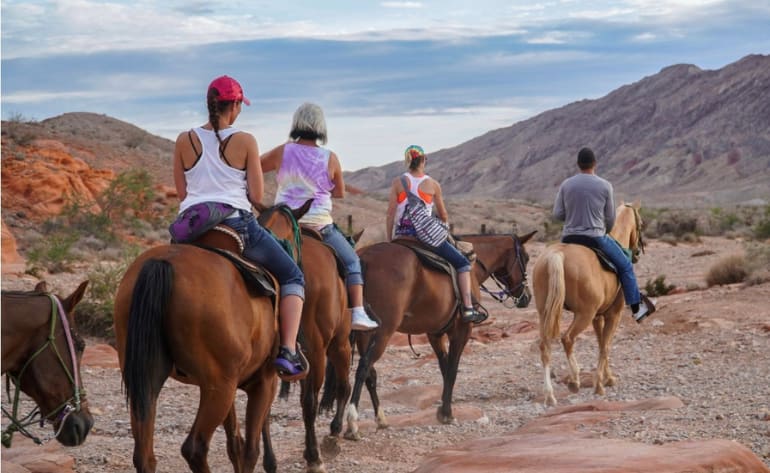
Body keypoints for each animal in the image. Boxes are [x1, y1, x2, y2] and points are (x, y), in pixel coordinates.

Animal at [111, 212, 284, 470]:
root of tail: (164, 263)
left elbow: (235, 444)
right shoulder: (264, 382)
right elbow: (250, 450)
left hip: (146, 379)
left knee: (144, 455)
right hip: (218, 387)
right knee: (194, 448)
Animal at [342, 230, 536, 436]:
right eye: (526, 258)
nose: (527, 297)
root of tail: (363, 258)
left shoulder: (435, 333)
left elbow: (444, 369)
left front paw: (444, 408)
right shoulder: (461, 331)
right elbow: (452, 370)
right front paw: (447, 414)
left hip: (364, 333)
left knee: (370, 372)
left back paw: (380, 419)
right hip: (383, 330)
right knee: (364, 367)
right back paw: (352, 422)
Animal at [532, 201, 644, 404]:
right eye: (641, 223)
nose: (637, 252)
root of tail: (557, 254)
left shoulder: (597, 317)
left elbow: (600, 343)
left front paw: (608, 378)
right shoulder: (613, 315)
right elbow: (606, 345)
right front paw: (600, 384)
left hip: (544, 312)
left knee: (545, 346)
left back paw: (550, 395)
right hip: (583, 314)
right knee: (568, 339)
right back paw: (574, 380)